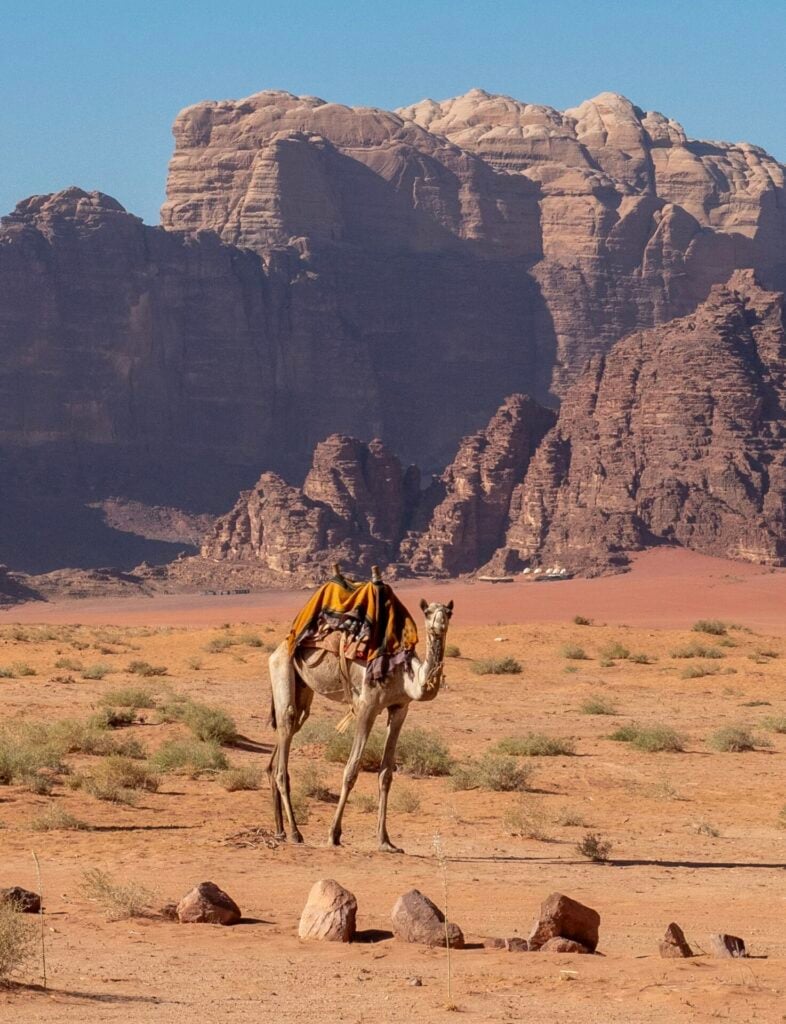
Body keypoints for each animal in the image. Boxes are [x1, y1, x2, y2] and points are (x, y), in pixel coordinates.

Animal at [267, 594, 453, 852]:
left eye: (449, 612)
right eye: (427, 612)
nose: (440, 624)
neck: (406, 676)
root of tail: (281, 645)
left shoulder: (400, 709)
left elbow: (386, 774)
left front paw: (385, 841)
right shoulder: (367, 706)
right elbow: (351, 770)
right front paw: (334, 835)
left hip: (302, 686)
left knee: (292, 728)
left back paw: (280, 830)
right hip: (282, 667)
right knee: (287, 724)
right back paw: (295, 832)